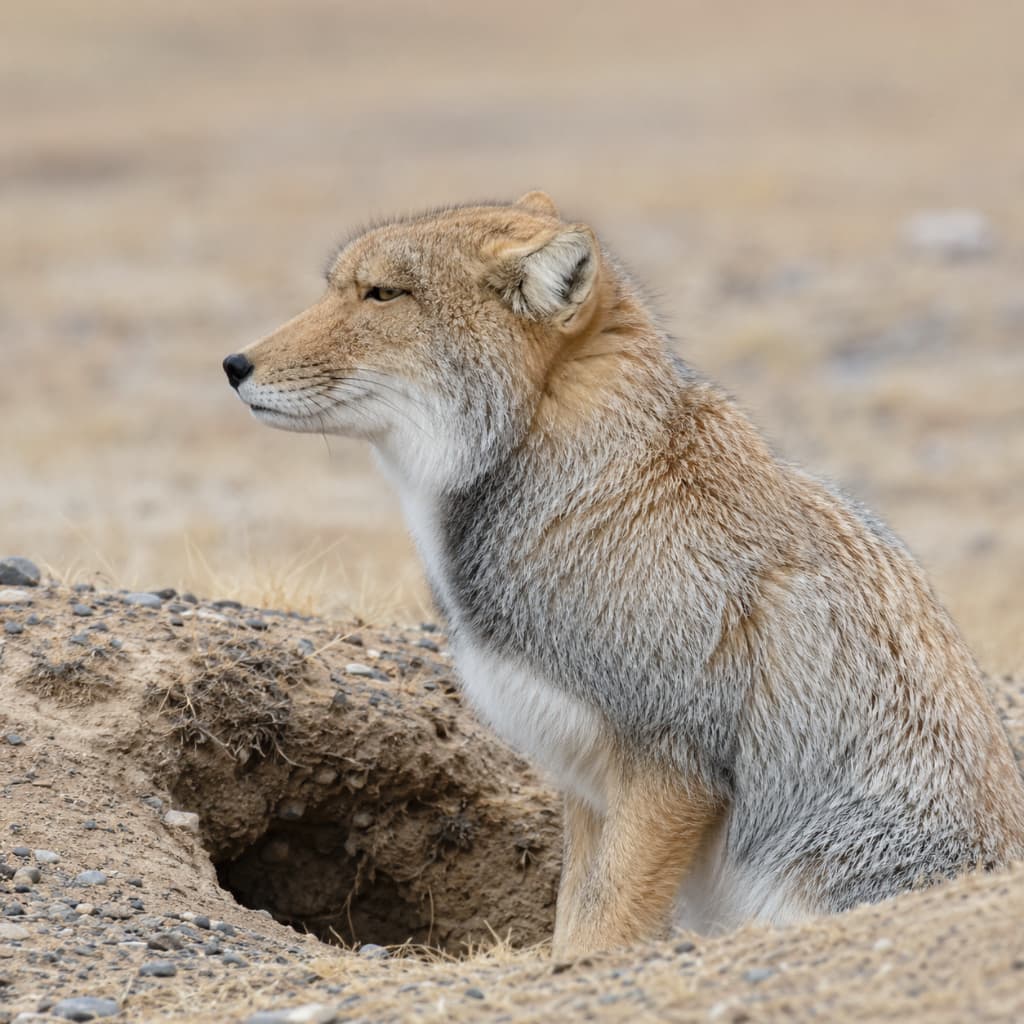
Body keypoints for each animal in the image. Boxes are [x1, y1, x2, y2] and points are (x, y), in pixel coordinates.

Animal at [223, 191, 1024, 957]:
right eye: (341, 287)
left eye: (381, 294)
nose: (234, 365)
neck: (585, 496)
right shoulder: (584, 779)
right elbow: (572, 921)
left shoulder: (671, 765)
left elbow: (606, 926)